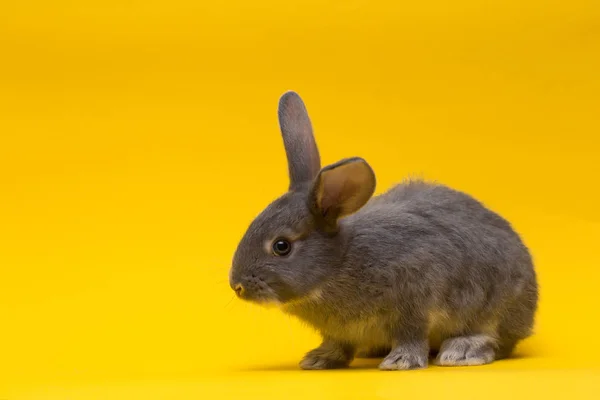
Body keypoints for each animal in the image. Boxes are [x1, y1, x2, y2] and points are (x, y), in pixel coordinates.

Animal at [229, 90, 540, 368]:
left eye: (282, 246)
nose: (237, 286)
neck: (340, 263)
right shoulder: (339, 332)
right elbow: (338, 342)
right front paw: (319, 359)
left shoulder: (415, 296)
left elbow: (411, 333)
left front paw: (401, 361)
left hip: (496, 307)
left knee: (493, 338)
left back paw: (461, 351)